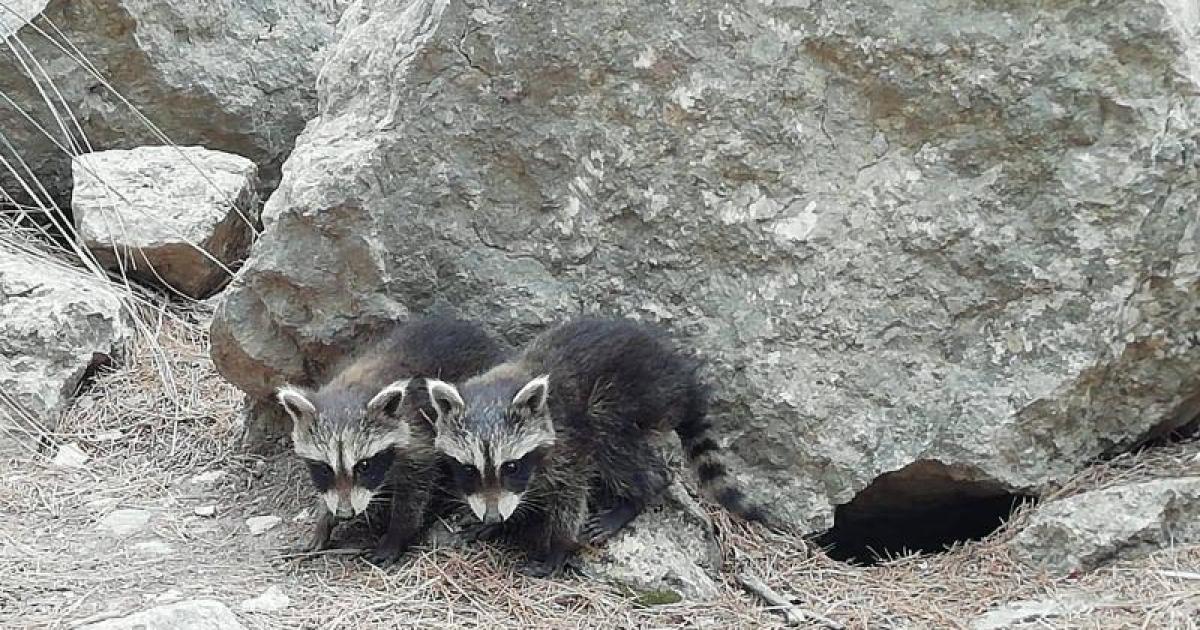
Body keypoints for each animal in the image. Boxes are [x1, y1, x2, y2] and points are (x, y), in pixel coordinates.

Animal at [275, 317, 505, 563]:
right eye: (325, 468)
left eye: (364, 465)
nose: (345, 513)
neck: (353, 388)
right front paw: (324, 521)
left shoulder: (416, 435)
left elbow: (414, 491)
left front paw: (396, 534)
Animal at [424, 317, 767, 576]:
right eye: (469, 469)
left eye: (510, 466)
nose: (494, 517)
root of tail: (683, 377)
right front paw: (509, 521)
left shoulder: (569, 445)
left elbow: (571, 498)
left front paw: (558, 546)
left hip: (633, 397)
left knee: (612, 437)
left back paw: (638, 495)